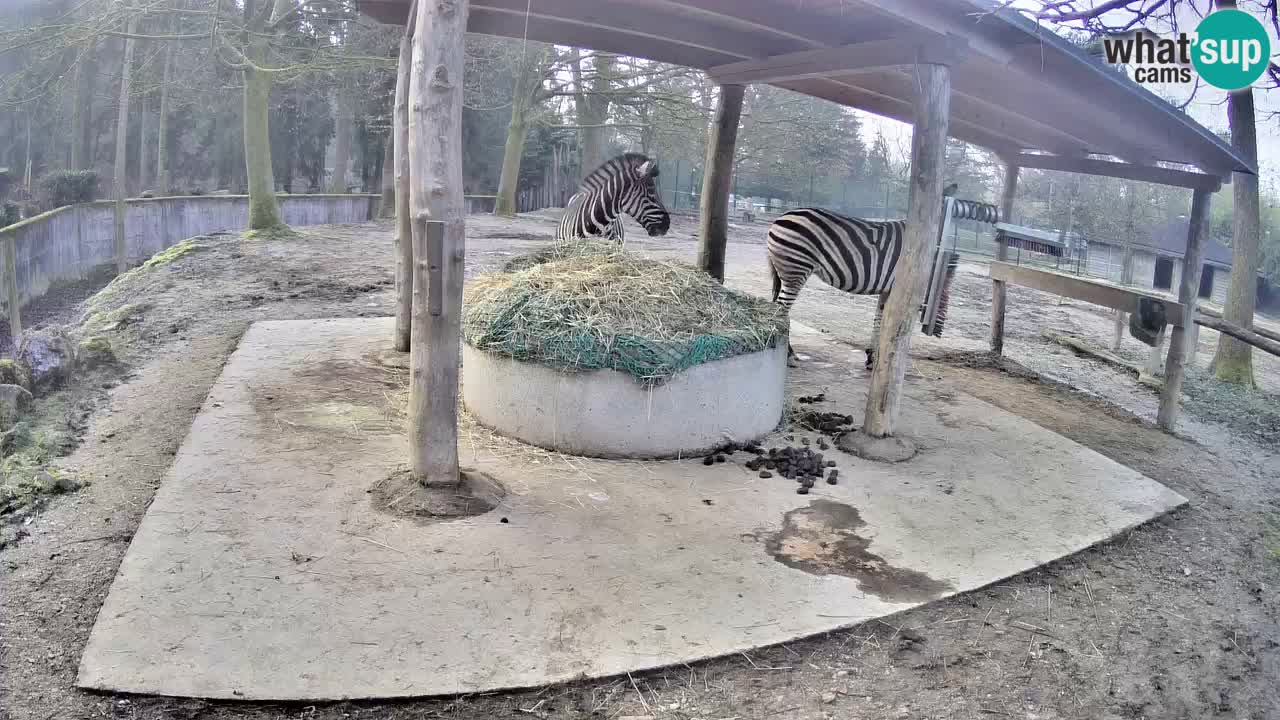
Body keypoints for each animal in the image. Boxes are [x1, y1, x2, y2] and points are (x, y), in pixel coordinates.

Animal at [767, 184, 999, 369]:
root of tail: (781, 217)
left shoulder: (887, 288)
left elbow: (879, 320)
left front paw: (872, 357)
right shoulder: (897, 287)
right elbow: (889, 324)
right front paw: (879, 359)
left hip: (787, 272)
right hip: (797, 269)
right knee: (781, 310)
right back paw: (789, 355)